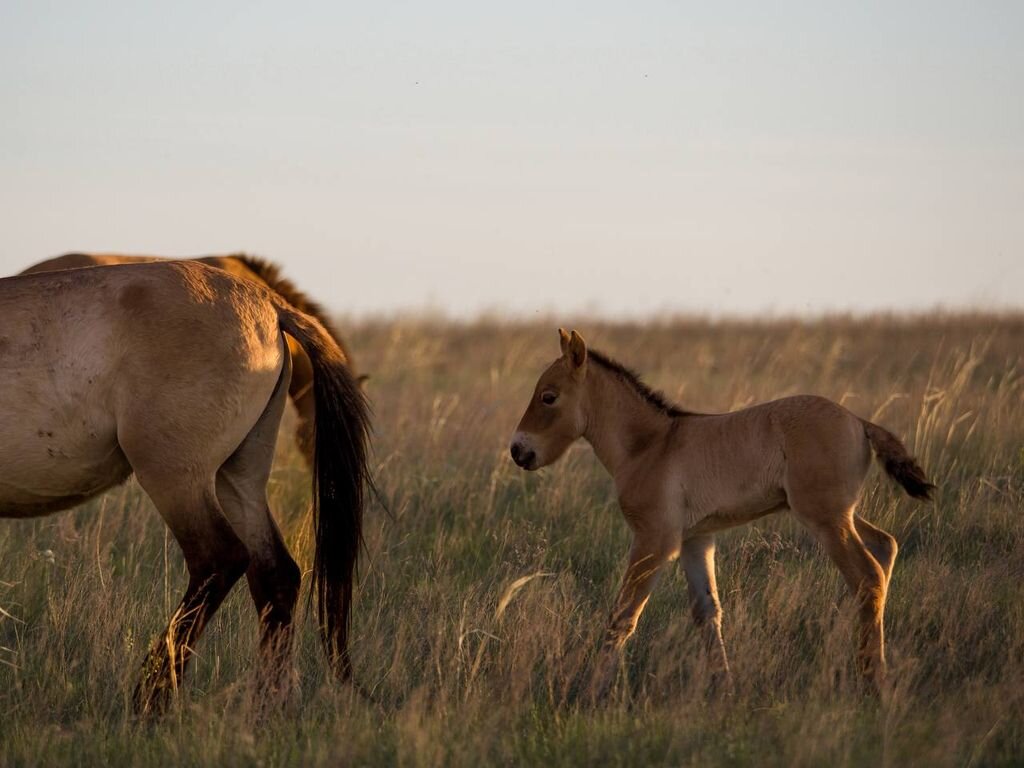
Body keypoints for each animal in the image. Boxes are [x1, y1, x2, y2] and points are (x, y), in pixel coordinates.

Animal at [507, 327, 933, 700]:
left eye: (548, 397)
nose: (518, 451)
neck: (650, 446)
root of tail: (859, 423)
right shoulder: (696, 539)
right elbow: (707, 613)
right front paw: (725, 691)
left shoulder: (654, 541)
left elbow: (623, 616)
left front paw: (588, 691)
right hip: (838, 513)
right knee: (885, 547)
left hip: (826, 519)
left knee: (867, 576)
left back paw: (875, 683)